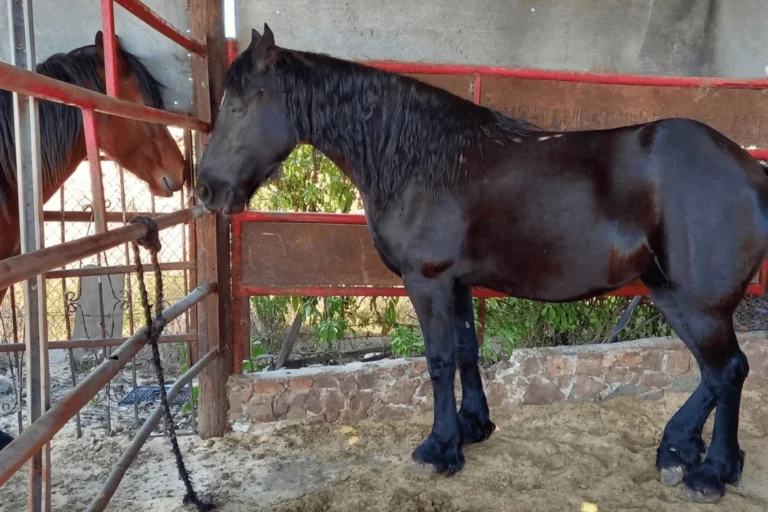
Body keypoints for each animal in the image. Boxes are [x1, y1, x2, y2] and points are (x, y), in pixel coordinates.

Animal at [196, 25, 768, 504]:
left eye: (240, 106)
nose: (207, 190)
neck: (417, 159)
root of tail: (750, 169)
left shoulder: (426, 280)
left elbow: (438, 358)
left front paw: (439, 448)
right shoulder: (457, 282)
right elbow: (467, 350)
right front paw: (473, 427)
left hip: (697, 301)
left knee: (728, 370)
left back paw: (711, 471)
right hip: (671, 291)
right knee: (715, 374)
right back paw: (679, 449)